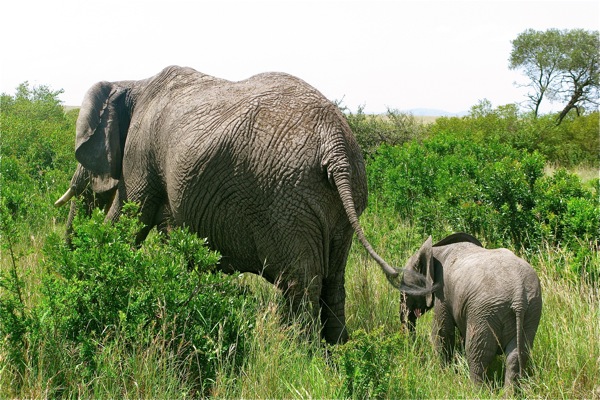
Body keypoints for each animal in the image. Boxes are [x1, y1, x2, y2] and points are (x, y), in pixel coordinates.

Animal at [55, 65, 412, 344]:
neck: (132, 82)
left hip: (288, 198)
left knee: (301, 284)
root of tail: (335, 146)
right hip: (341, 197)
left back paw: (296, 355)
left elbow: (129, 221)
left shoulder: (140, 155)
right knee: (333, 281)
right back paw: (335, 354)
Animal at [400, 231, 540, 388]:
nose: (412, 347)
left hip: (485, 311)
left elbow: (442, 332)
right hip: (531, 311)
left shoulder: (443, 293)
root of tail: (518, 293)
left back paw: (476, 390)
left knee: (477, 352)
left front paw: (442, 374)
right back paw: (508, 392)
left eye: (405, 289)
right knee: (517, 354)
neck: (436, 250)